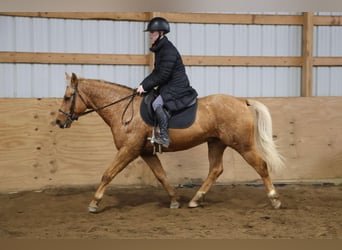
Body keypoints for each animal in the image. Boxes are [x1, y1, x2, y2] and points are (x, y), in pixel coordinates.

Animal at [56, 72, 284, 213]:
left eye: (67, 97)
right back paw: (195, 199)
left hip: (242, 145)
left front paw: (94, 203)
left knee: (261, 165)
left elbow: (108, 174)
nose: (58, 122)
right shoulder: (145, 152)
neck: (123, 110)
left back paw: (275, 199)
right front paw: (174, 200)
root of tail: (241, 101)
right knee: (215, 169)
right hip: (216, 143)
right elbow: (161, 175)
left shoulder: (128, 150)